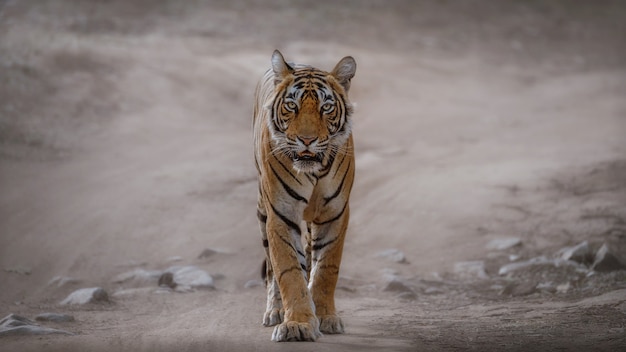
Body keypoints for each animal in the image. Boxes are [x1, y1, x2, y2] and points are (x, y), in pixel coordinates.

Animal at [251, 50, 354, 340]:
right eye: (292, 106)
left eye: (326, 107)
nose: (306, 140)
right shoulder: (281, 215)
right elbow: (289, 271)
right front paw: (297, 323)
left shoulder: (335, 214)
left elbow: (326, 269)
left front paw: (326, 317)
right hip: (263, 212)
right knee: (272, 268)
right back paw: (275, 311)